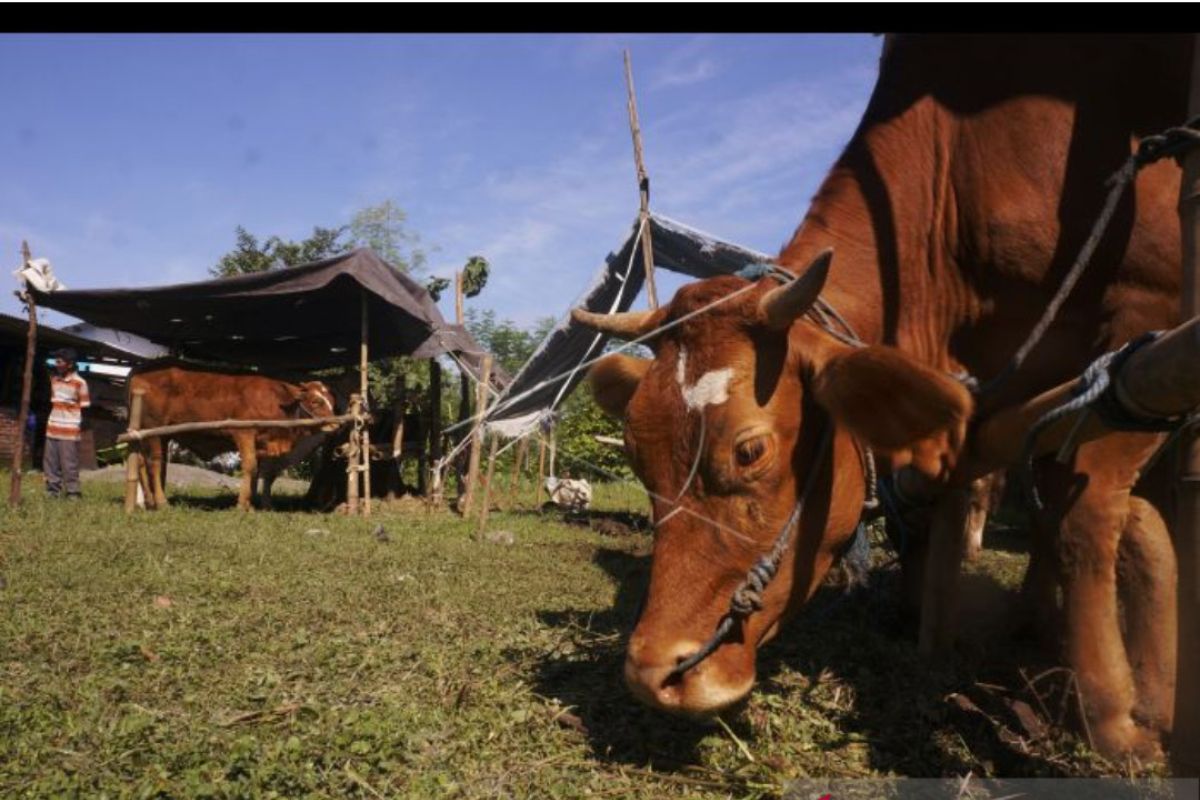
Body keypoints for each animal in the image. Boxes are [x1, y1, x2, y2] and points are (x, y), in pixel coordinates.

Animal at [129, 364, 338, 513]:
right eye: (316, 401)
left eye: (332, 401)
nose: (336, 424)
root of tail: (139, 377)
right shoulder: (243, 433)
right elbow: (250, 467)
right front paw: (241, 505)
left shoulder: (259, 442)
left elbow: (256, 471)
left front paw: (250, 505)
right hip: (155, 433)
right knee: (155, 465)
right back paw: (162, 503)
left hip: (153, 436)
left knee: (141, 464)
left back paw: (148, 502)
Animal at [576, 34, 1185, 762]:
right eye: (637, 456)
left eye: (749, 451)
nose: (651, 673)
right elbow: (1044, 499)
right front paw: (1039, 633)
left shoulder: (1147, 310)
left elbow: (1084, 512)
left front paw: (1115, 717)